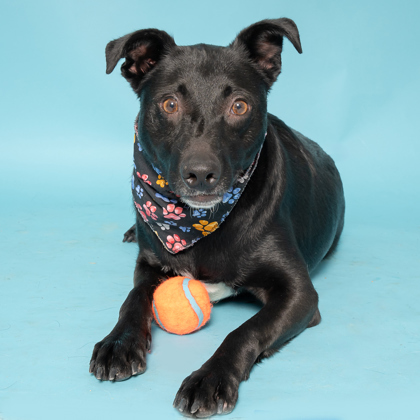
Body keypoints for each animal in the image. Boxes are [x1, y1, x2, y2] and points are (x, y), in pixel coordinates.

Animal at [88, 18, 344, 418]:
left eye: (239, 105)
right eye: (170, 104)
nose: (200, 173)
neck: (194, 223)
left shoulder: (301, 295)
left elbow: (244, 330)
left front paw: (210, 378)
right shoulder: (149, 263)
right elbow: (133, 297)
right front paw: (119, 343)